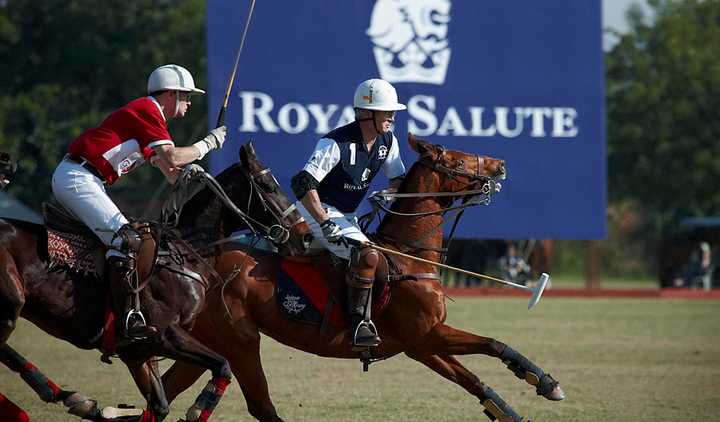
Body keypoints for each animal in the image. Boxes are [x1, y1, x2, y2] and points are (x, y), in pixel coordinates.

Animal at [159, 135, 568, 422]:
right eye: (458, 159)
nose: (501, 164)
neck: (409, 254)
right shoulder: (426, 335)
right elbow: (493, 343)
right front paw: (545, 382)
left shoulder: (420, 345)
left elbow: (473, 379)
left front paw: (534, 391)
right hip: (241, 340)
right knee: (260, 406)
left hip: (213, 340)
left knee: (171, 385)